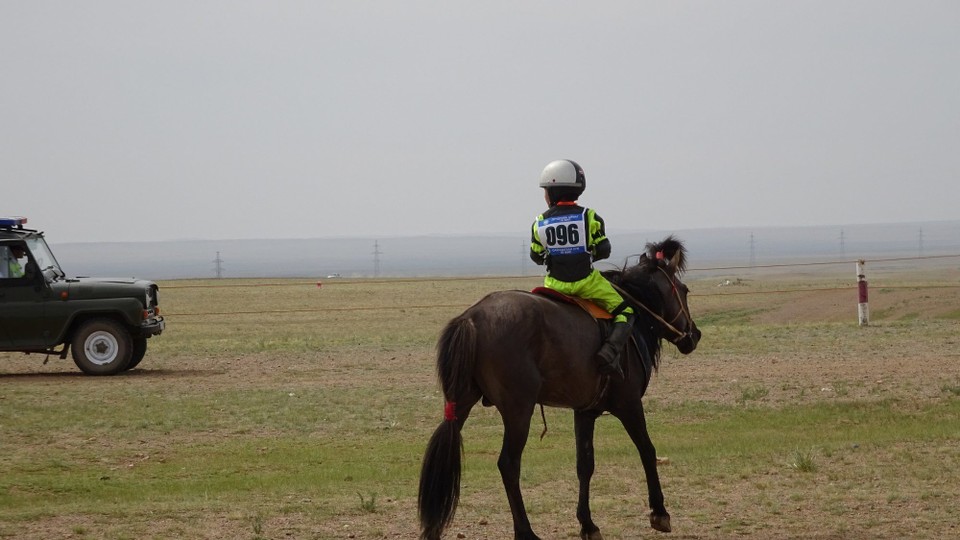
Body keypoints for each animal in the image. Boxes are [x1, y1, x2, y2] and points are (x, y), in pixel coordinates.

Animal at [416, 236, 700, 540]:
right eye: (684, 290)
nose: (694, 335)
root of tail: (472, 318)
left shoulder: (585, 411)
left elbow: (584, 464)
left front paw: (588, 524)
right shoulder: (629, 404)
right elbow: (647, 450)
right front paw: (659, 512)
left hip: (461, 402)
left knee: (446, 451)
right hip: (518, 411)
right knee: (508, 464)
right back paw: (526, 532)